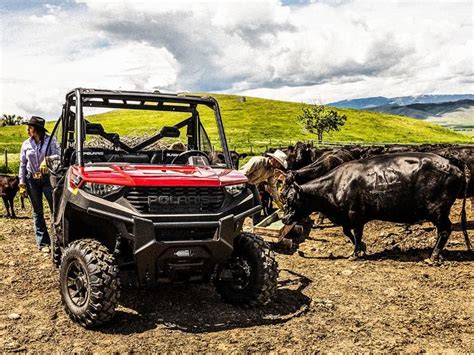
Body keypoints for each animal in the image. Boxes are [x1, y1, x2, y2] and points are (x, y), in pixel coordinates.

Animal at [282, 153, 466, 262]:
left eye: (291, 199)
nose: (284, 218)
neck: (335, 185)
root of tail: (453, 165)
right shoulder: (348, 218)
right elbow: (348, 233)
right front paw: (362, 248)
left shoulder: (356, 215)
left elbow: (356, 234)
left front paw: (355, 253)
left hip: (438, 211)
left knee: (445, 230)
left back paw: (434, 256)